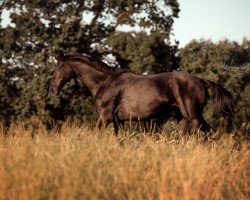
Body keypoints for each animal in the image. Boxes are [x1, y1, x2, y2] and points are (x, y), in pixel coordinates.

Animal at [49, 50, 234, 136]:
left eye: (58, 67)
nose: (52, 89)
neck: (105, 83)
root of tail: (202, 80)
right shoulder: (118, 121)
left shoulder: (105, 116)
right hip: (182, 117)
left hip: (194, 115)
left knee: (210, 133)